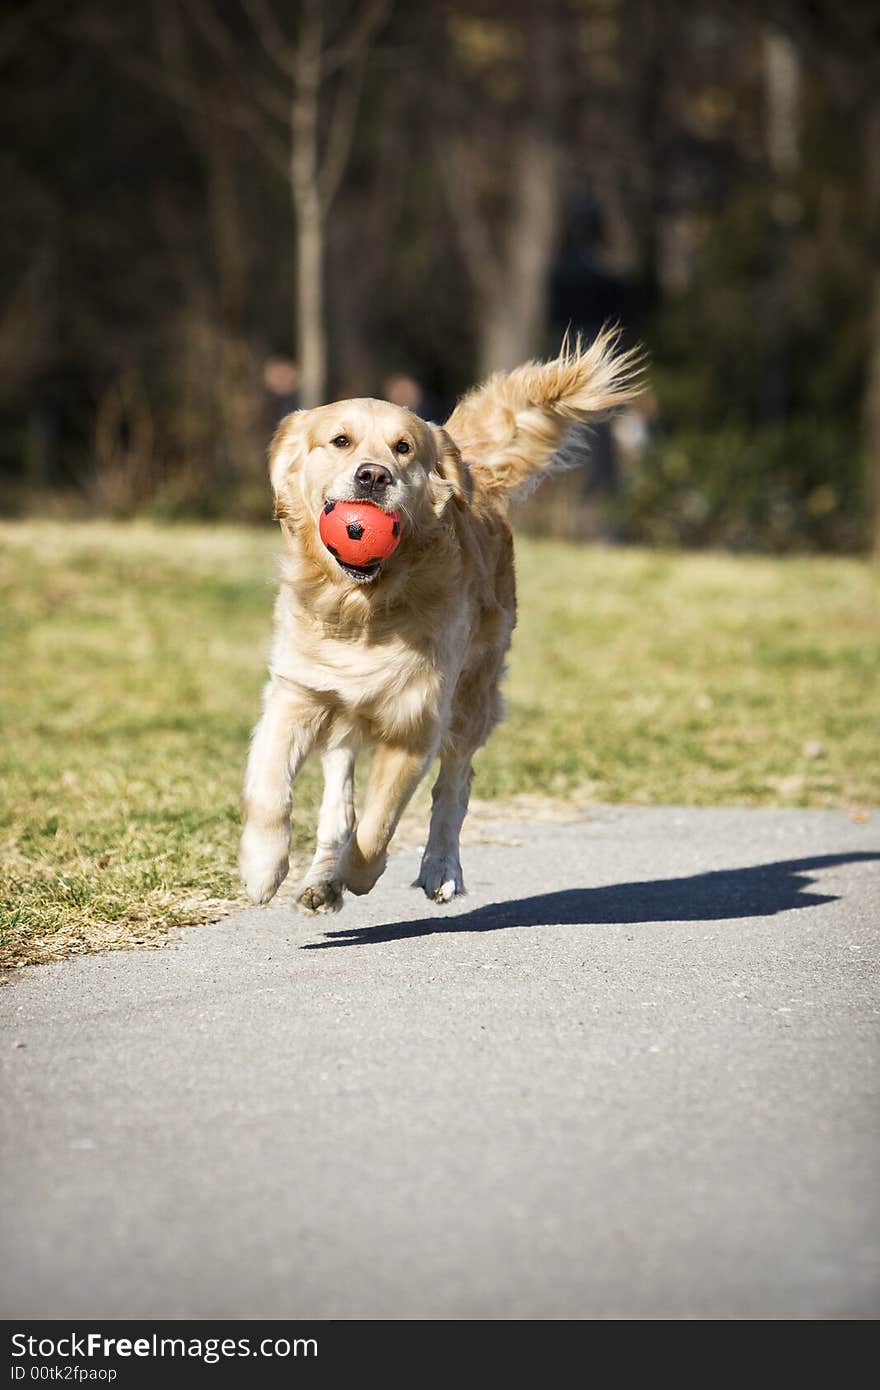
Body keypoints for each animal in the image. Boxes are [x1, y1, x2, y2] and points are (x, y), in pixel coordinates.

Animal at [239, 325, 639, 911]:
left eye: (403, 448)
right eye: (340, 441)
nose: (373, 476)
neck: (363, 608)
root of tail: (473, 469)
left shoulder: (416, 721)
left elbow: (379, 825)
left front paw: (360, 872)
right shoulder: (298, 692)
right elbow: (273, 792)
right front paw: (263, 868)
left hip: (472, 698)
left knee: (454, 787)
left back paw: (437, 868)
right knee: (340, 788)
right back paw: (321, 877)